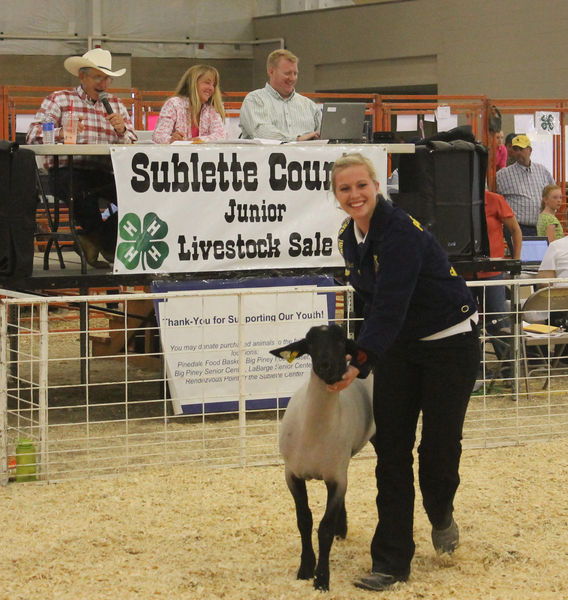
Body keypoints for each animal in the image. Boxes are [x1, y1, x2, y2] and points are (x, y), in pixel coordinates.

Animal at [270, 324, 374, 592]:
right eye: (309, 342)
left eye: (342, 341)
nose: (329, 366)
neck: (314, 431)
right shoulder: (292, 475)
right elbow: (304, 520)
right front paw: (305, 569)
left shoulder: (336, 477)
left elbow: (324, 528)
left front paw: (322, 578)